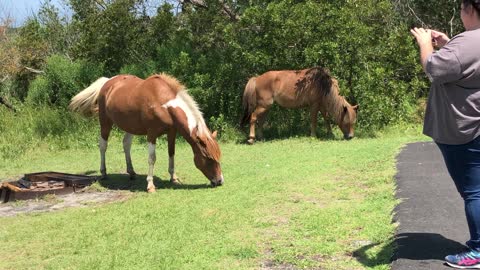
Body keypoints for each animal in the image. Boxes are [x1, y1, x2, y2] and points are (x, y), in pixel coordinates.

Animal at [69, 74, 223, 192]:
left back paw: (131, 172)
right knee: (103, 146)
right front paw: (150, 185)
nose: (220, 181)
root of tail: (108, 82)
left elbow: (171, 153)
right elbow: (152, 158)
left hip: (130, 126)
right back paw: (104, 172)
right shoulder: (152, 134)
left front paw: (173, 177)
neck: (163, 104)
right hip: (105, 123)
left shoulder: (172, 132)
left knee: (126, 144)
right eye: (208, 158)